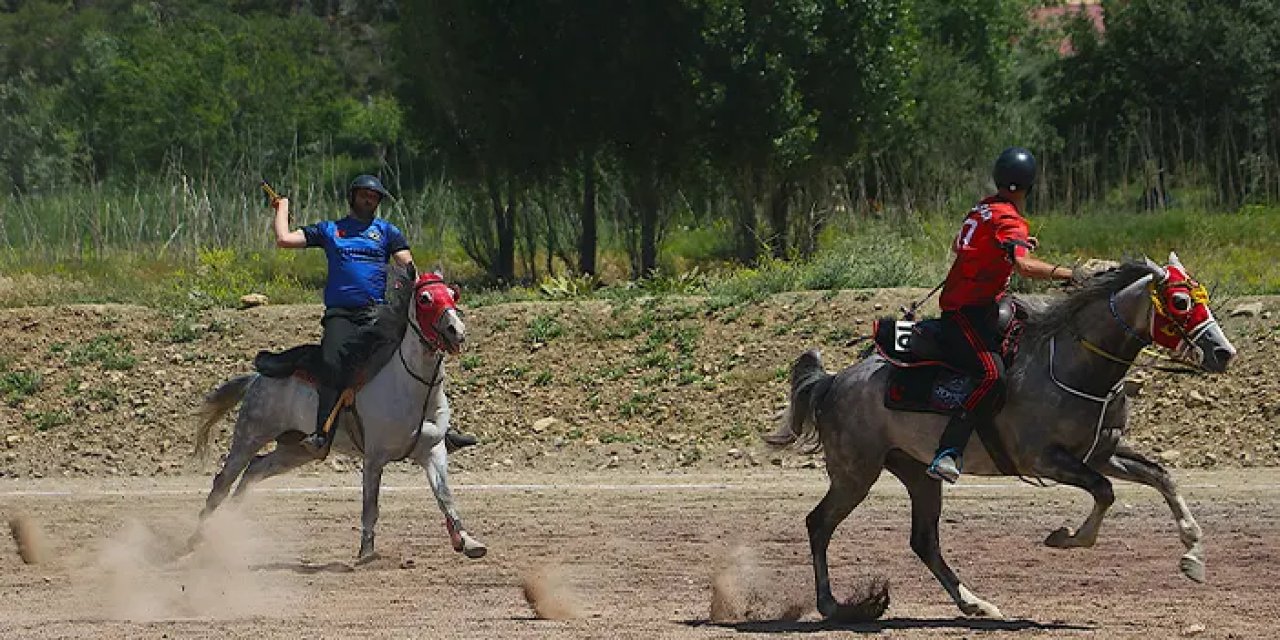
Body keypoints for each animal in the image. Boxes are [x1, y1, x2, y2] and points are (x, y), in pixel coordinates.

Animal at [189, 267, 483, 563]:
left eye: (453, 294)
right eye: (424, 298)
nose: (456, 330)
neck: (411, 389)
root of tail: (256, 378)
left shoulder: (433, 451)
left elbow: (445, 497)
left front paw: (468, 541)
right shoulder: (374, 458)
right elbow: (370, 505)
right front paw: (366, 552)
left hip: (297, 449)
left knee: (255, 469)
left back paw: (229, 521)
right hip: (251, 434)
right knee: (223, 482)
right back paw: (196, 538)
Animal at [762, 254, 1233, 619]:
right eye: (1180, 301)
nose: (1223, 352)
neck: (1072, 363)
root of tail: (833, 381)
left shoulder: (1101, 452)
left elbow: (1161, 476)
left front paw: (1192, 556)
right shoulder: (1045, 459)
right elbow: (1104, 491)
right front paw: (1067, 537)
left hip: (916, 473)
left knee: (924, 541)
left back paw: (974, 604)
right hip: (855, 473)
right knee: (819, 524)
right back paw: (832, 605)